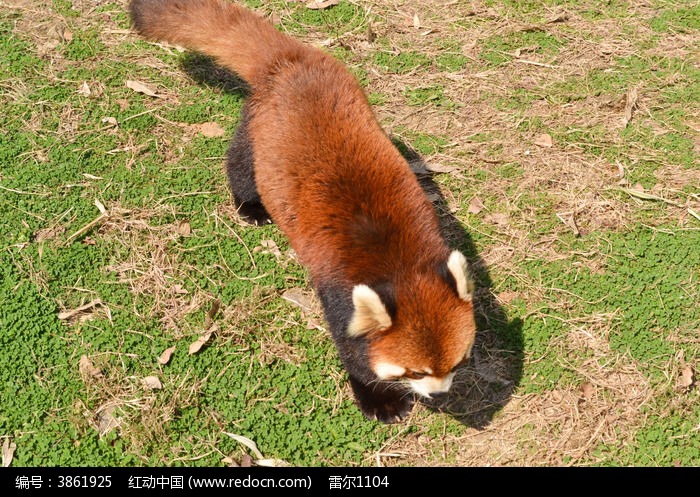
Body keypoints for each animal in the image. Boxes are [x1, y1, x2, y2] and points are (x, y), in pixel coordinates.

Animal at [129, 0, 478, 422]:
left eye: (456, 363)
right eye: (415, 372)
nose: (441, 394)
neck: (400, 267)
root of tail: (290, 57)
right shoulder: (340, 291)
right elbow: (352, 348)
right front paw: (378, 398)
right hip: (259, 131)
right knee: (242, 164)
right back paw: (250, 205)